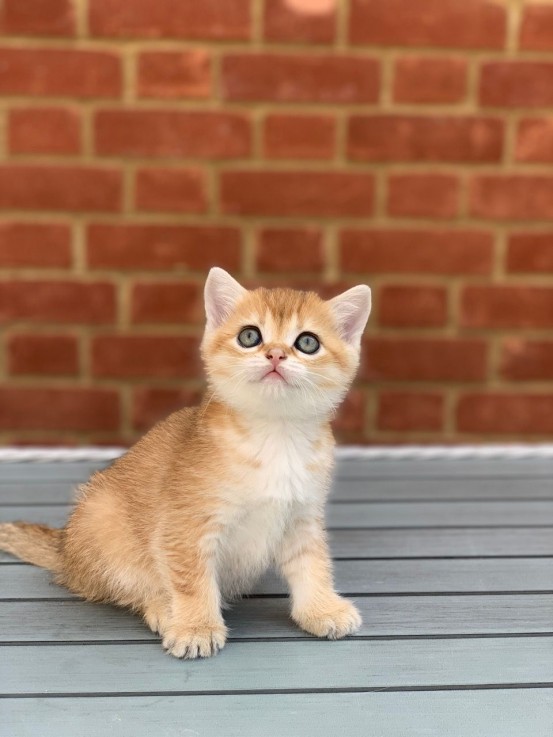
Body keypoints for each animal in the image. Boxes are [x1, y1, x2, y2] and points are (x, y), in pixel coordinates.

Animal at [1, 268, 370, 660]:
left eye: (307, 343)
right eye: (250, 336)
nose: (275, 354)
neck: (275, 435)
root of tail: (64, 551)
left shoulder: (302, 517)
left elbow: (313, 564)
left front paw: (321, 609)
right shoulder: (185, 525)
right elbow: (191, 578)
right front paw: (196, 627)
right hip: (103, 521)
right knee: (132, 587)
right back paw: (164, 609)